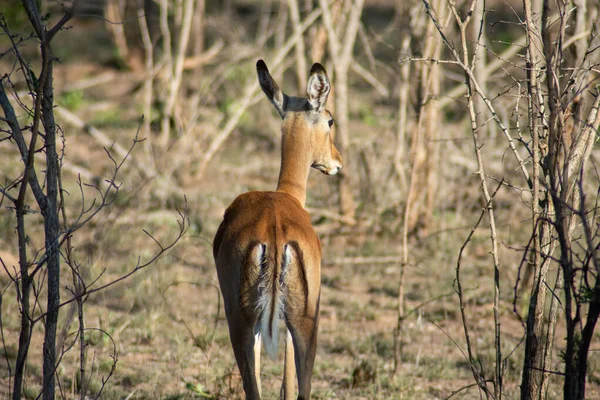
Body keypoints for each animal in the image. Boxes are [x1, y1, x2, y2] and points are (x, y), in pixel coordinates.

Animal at [213, 60, 340, 400]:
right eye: (330, 119)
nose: (337, 162)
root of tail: (274, 229)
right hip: (303, 318)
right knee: (302, 385)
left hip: (244, 320)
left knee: (253, 387)